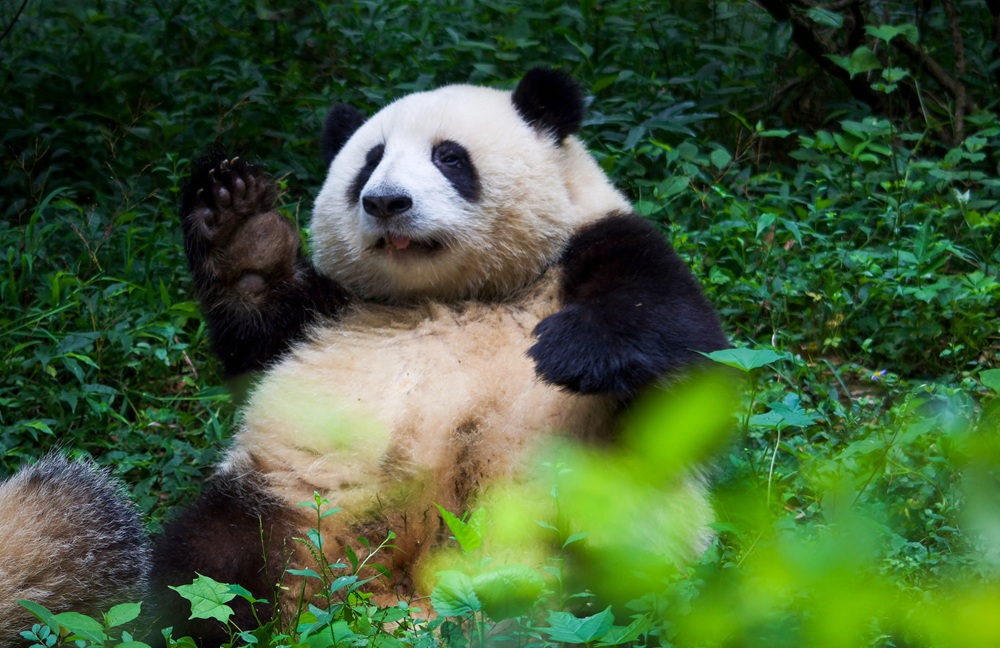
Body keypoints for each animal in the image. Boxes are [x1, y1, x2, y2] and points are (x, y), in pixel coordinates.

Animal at [150, 68, 729, 642]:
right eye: (370, 161)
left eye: (449, 157)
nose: (386, 202)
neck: (453, 294)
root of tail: (398, 605)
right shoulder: (328, 312)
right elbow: (256, 338)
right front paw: (241, 228)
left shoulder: (597, 244)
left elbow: (684, 344)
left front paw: (570, 353)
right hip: (284, 501)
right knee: (203, 572)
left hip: (603, 522)